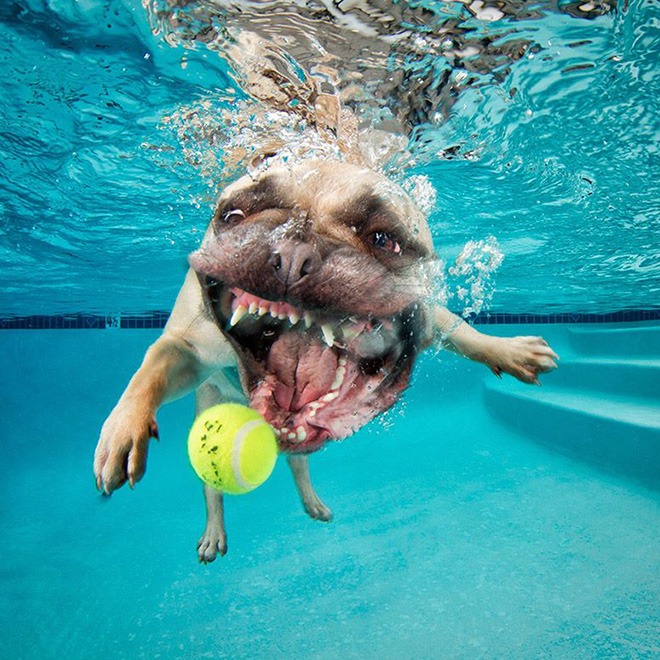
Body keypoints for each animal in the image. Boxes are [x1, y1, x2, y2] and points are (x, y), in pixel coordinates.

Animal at [93, 156, 556, 564]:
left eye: (384, 239)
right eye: (233, 216)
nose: (294, 250)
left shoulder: (428, 316)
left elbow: (461, 330)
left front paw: (509, 350)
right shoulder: (189, 344)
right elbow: (153, 364)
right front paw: (124, 428)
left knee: (297, 459)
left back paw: (312, 502)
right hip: (208, 405)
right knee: (213, 485)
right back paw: (213, 531)